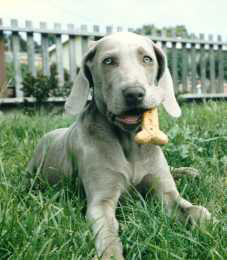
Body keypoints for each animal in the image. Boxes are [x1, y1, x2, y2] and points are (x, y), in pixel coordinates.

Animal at [27, 32, 212, 260]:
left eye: (147, 59)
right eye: (108, 61)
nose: (134, 93)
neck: (129, 141)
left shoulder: (166, 192)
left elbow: (197, 211)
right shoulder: (100, 202)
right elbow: (108, 234)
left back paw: (189, 171)